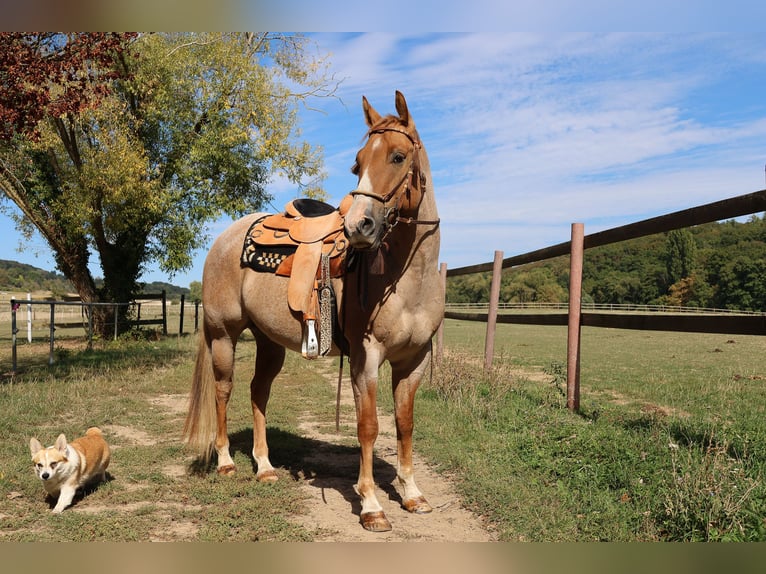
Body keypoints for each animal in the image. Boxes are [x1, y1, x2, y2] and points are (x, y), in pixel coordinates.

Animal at [183, 91, 443, 532]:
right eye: (358, 162)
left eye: (398, 156)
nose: (358, 227)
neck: (406, 278)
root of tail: (224, 238)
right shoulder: (366, 357)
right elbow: (369, 427)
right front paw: (371, 505)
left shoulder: (414, 359)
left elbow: (405, 424)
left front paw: (413, 494)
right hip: (223, 335)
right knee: (224, 390)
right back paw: (225, 462)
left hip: (268, 342)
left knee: (258, 392)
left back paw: (265, 466)